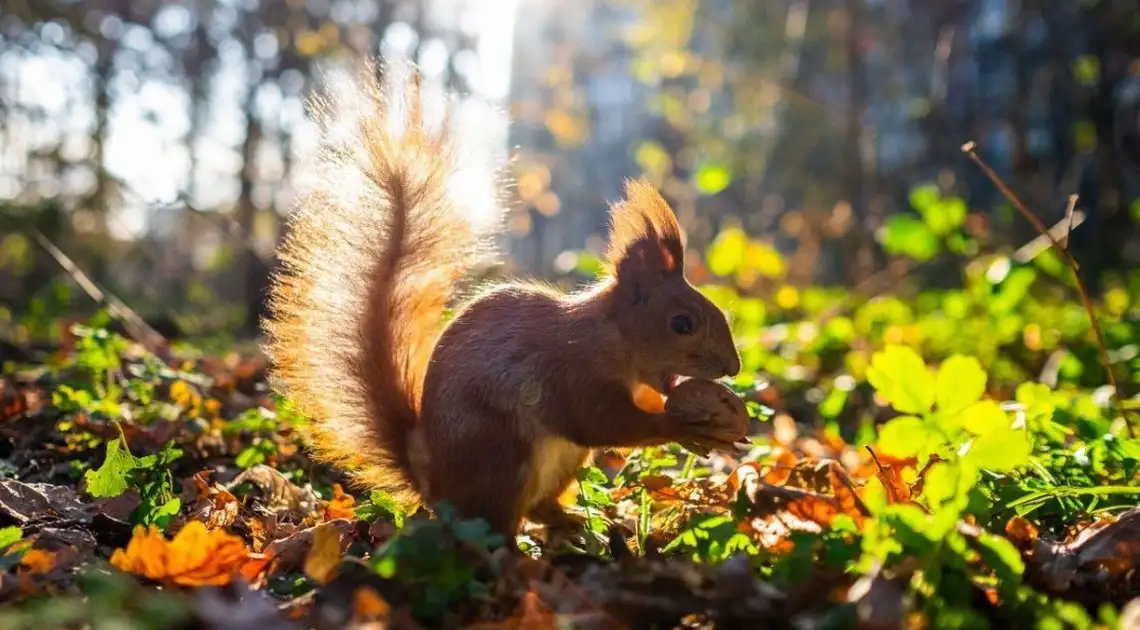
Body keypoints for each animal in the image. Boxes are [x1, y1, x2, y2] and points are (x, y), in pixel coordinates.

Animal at [262, 60, 752, 540]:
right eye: (682, 323)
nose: (733, 368)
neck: (610, 335)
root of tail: (432, 483)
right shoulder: (572, 369)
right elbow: (598, 420)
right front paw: (682, 426)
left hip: (564, 462)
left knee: (537, 509)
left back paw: (578, 521)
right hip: (502, 454)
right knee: (493, 527)